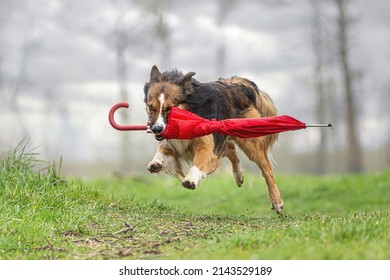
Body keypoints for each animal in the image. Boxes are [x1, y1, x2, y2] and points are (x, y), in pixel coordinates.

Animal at [143, 65, 284, 213]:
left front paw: (191, 179)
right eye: (151, 107)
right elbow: (162, 152)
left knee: (266, 169)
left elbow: (200, 161)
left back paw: (276, 200)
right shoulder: (171, 143)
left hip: (250, 143)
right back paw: (238, 175)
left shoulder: (206, 145)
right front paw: (156, 163)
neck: (187, 114)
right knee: (230, 149)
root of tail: (236, 85)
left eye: (169, 108)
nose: (156, 129)